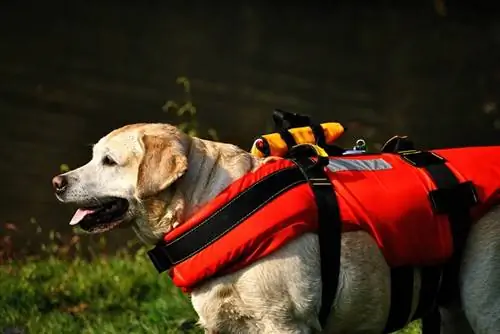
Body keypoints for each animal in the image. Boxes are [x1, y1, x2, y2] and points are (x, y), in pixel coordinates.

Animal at [52, 123, 498, 334]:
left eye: (109, 161)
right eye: (93, 156)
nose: (57, 182)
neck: (212, 199)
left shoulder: (285, 323)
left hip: (482, 301)